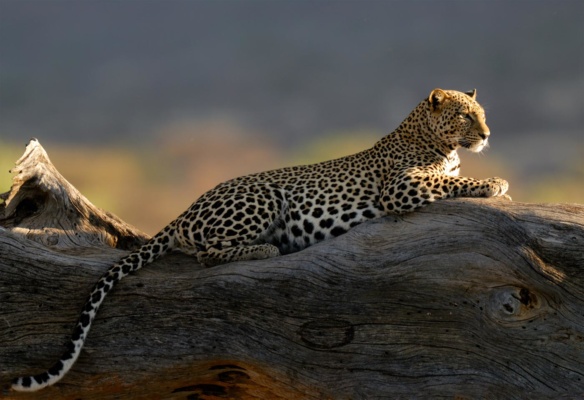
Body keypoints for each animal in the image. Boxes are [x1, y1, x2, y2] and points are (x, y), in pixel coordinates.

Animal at [11, 87, 508, 390]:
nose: (487, 134)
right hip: (264, 195)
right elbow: (449, 182)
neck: (435, 141)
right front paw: (494, 183)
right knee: (207, 254)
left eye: (483, 115)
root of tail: (187, 208)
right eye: (466, 115)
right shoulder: (401, 187)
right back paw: (269, 247)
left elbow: (451, 180)